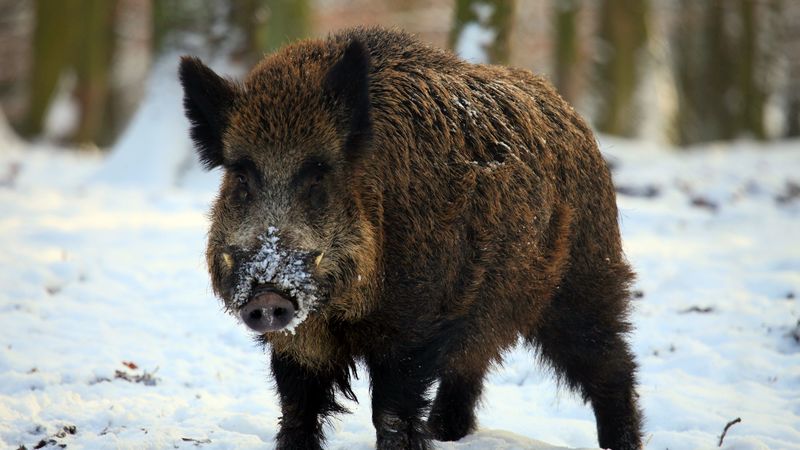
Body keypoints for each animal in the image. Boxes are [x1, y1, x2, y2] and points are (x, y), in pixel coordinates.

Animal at [179, 26, 643, 450]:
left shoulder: (415, 323)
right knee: (471, 364)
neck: (342, 311)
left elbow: (391, 413)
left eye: (318, 174)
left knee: (612, 363)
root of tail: (570, 114)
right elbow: (297, 410)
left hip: (583, 279)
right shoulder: (300, 341)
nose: (268, 295)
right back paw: (446, 433)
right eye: (242, 176)